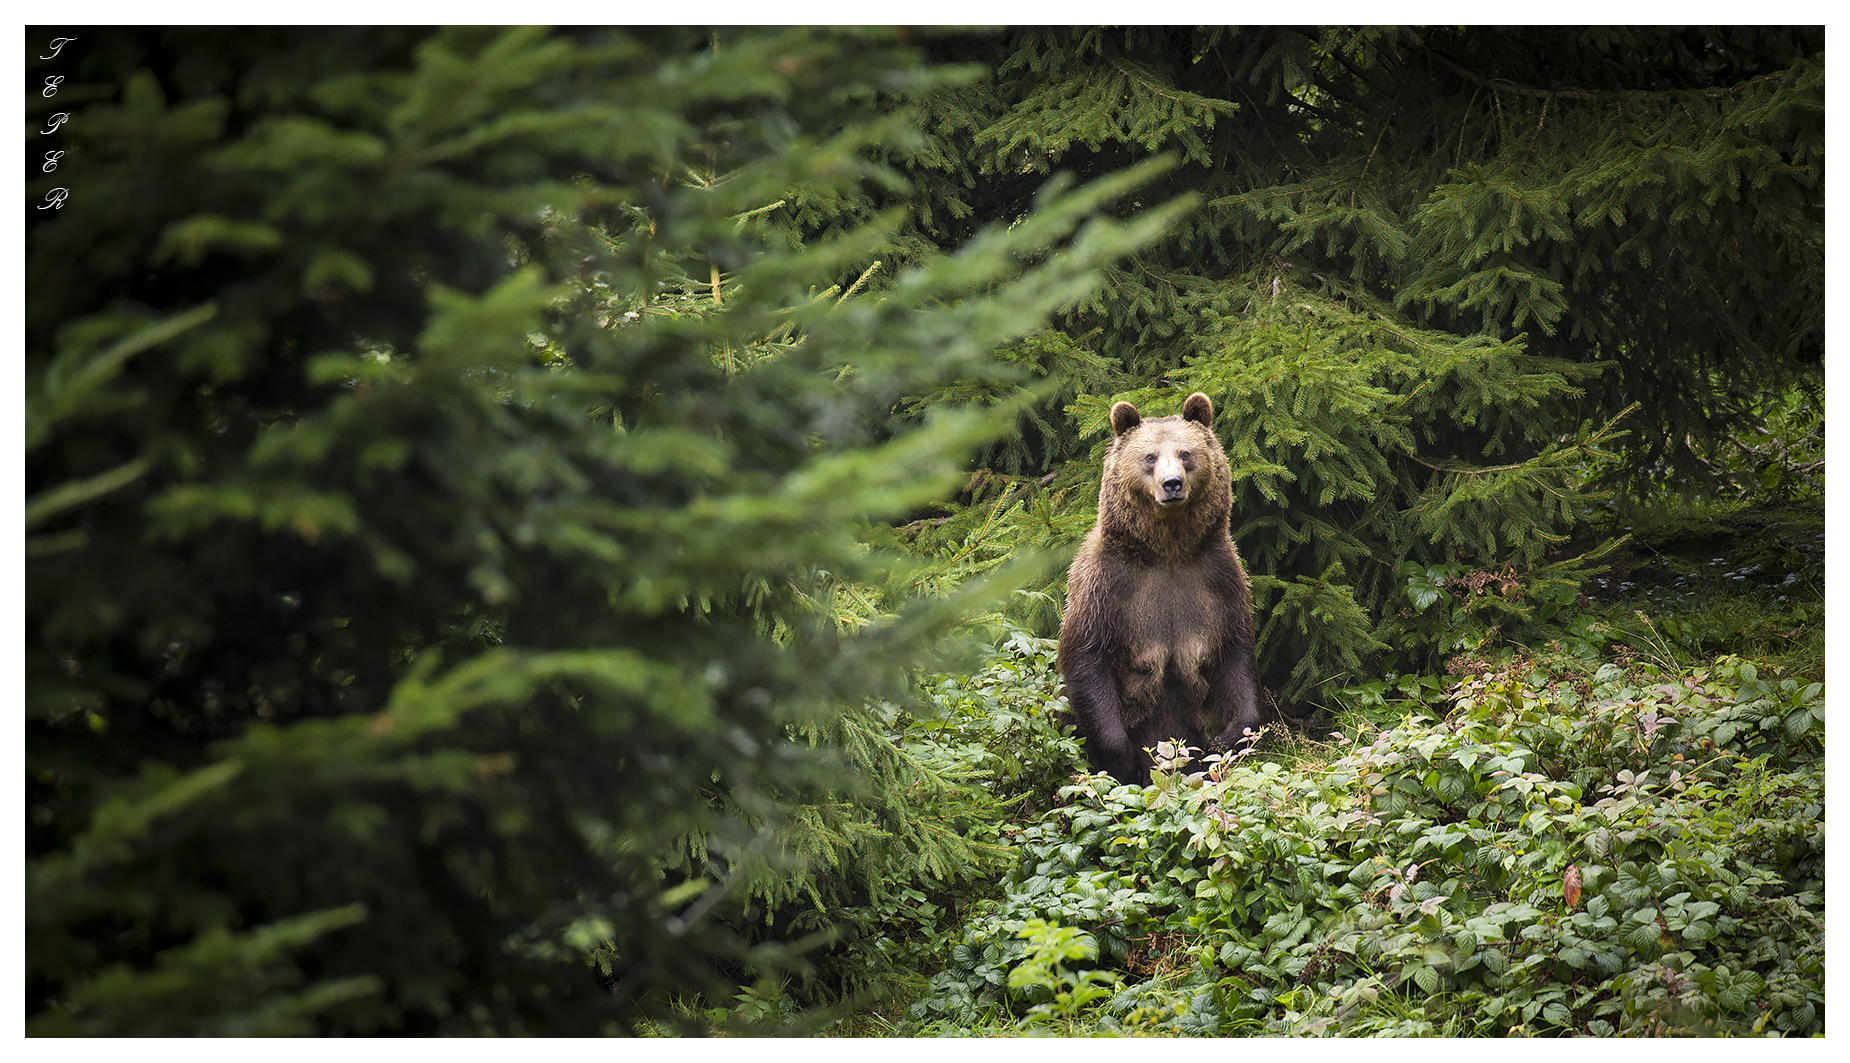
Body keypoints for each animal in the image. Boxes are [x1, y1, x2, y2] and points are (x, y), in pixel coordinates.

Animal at [1056, 391, 1261, 785]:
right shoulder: (1109, 585)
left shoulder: (1218, 579)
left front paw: (1228, 737)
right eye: (1149, 456)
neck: (1168, 551)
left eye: (1186, 453)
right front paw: (1123, 759)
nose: (1172, 483)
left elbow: (1233, 655)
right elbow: (1089, 658)